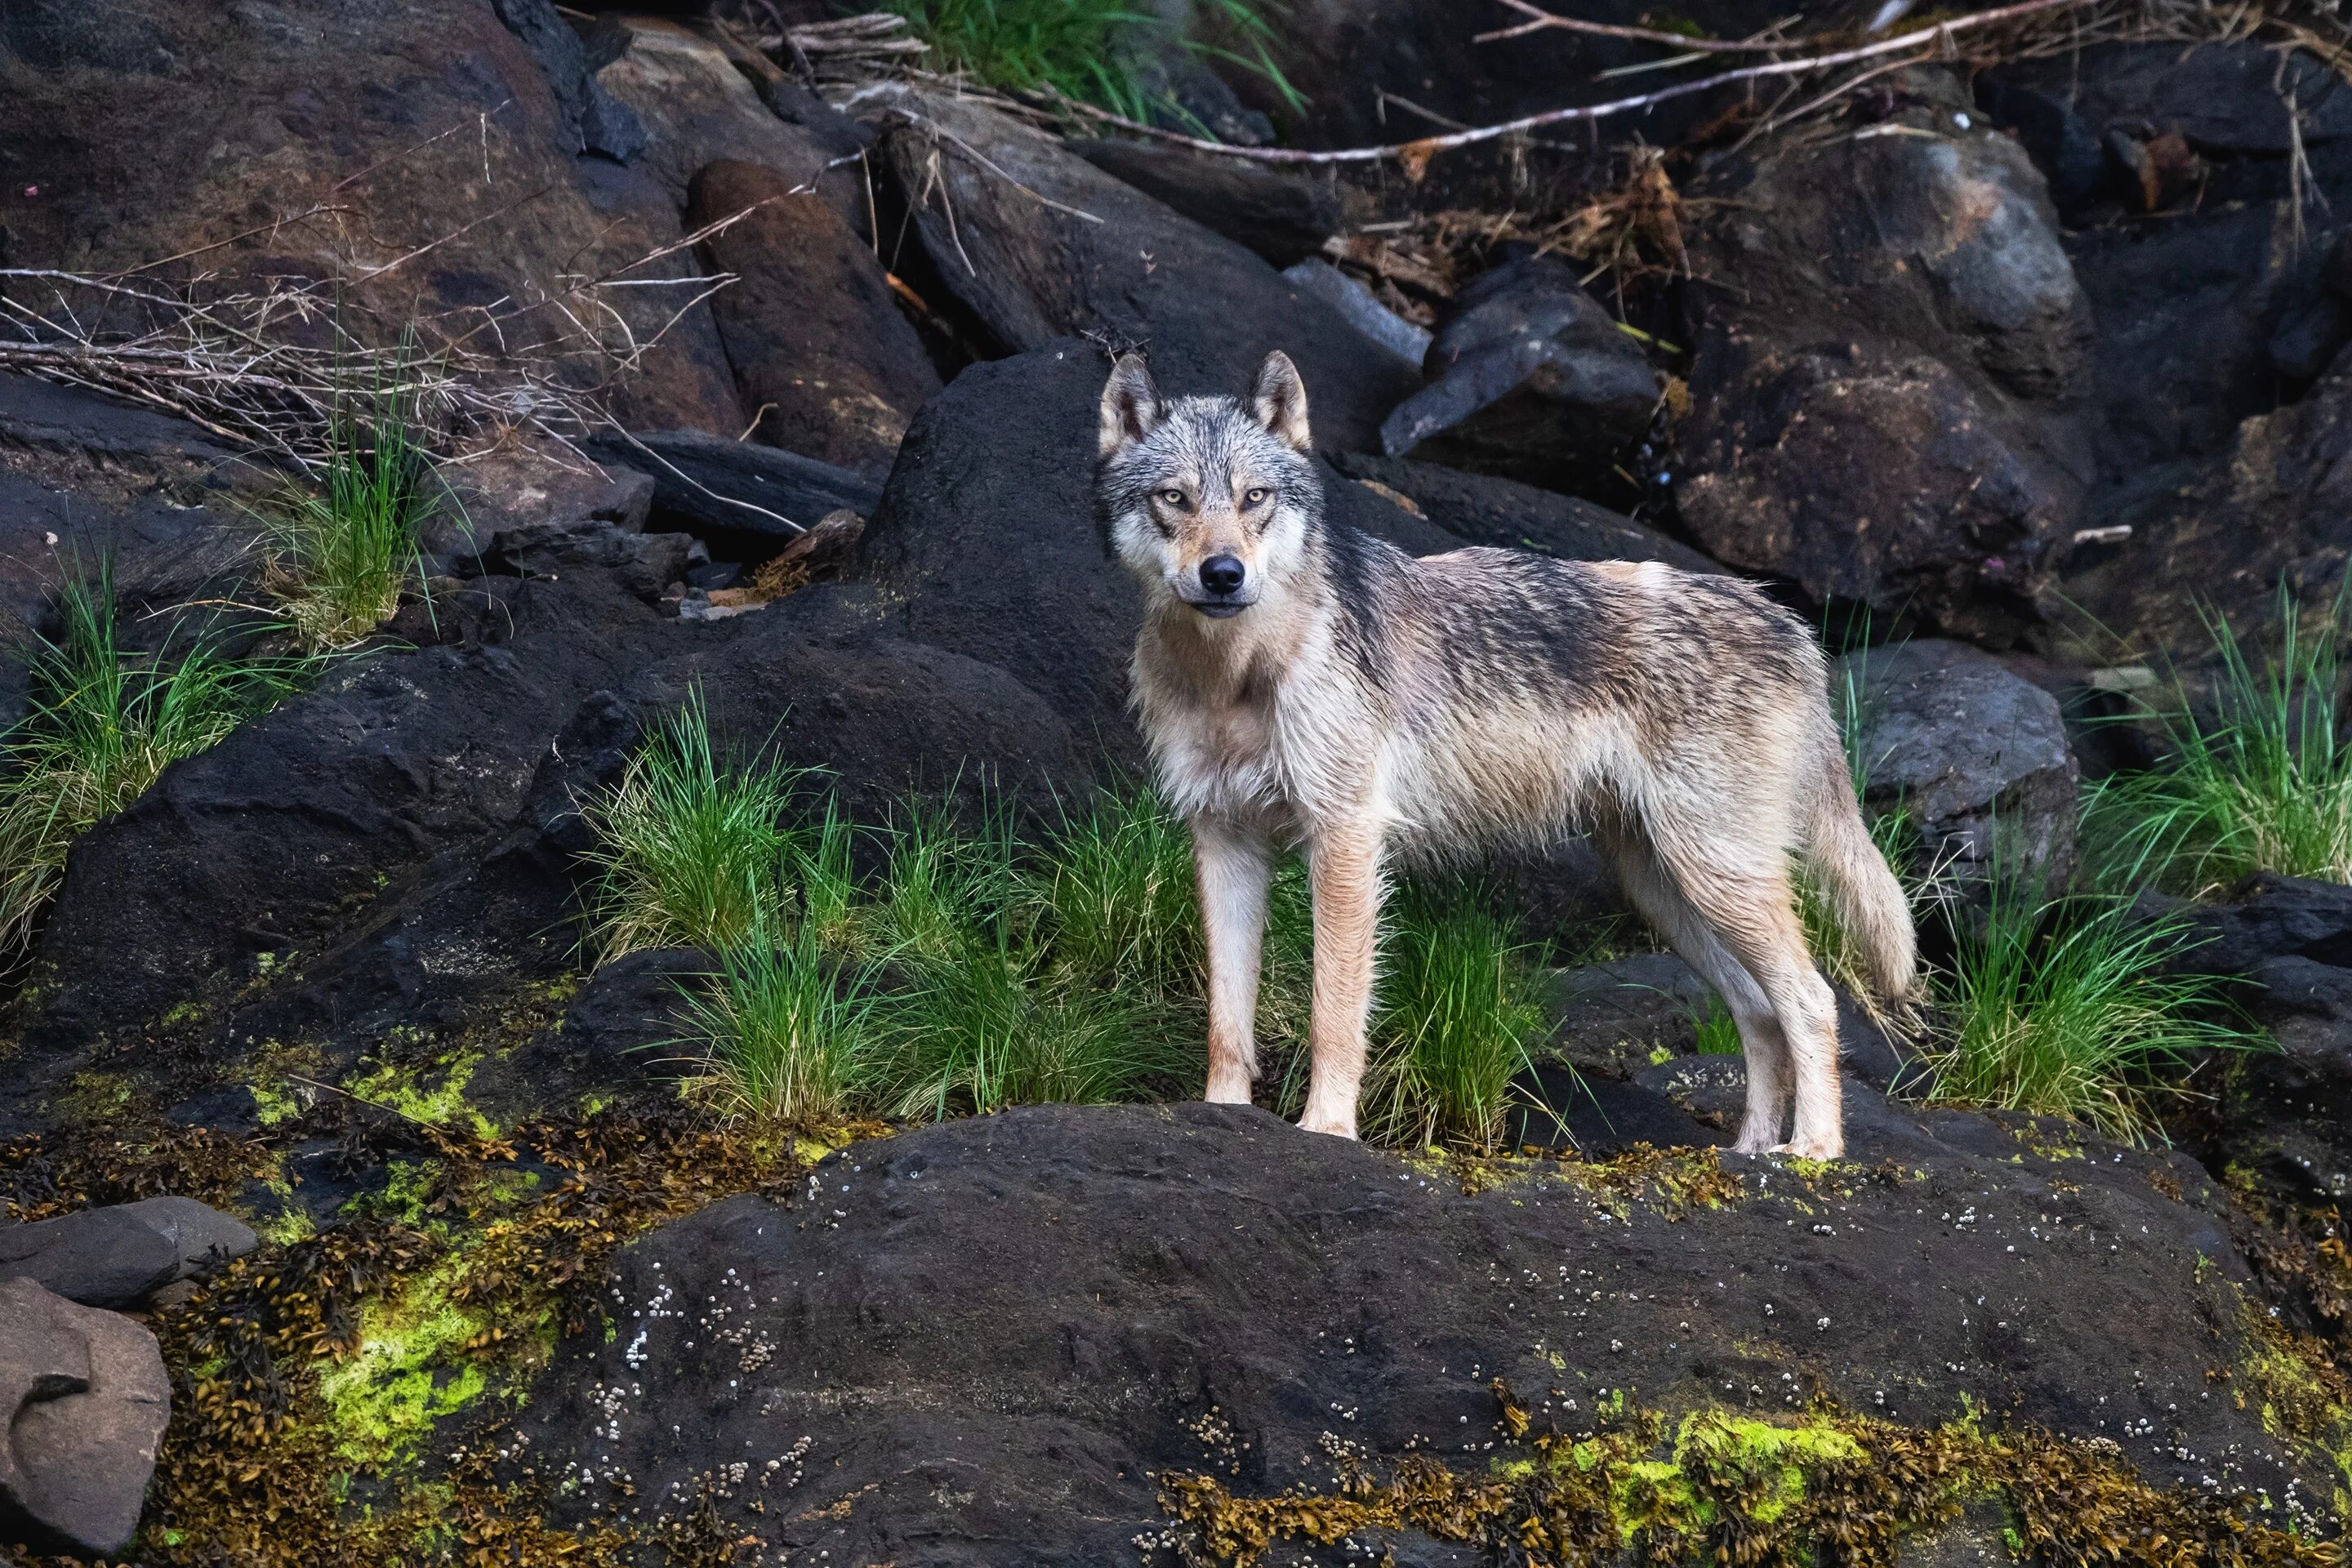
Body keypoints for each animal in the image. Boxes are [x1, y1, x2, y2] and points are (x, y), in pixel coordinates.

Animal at [1091, 354, 1919, 1165]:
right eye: (1175, 498)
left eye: (1254, 496)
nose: (1223, 574)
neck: (1236, 673)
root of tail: (1789, 626)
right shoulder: (1225, 839)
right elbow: (1226, 1019)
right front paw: (1222, 1116)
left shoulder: (1346, 838)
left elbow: (1336, 1012)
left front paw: (1326, 1132)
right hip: (1668, 889)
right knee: (1757, 1009)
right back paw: (1748, 1153)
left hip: (1714, 875)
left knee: (1811, 998)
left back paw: (1814, 1149)